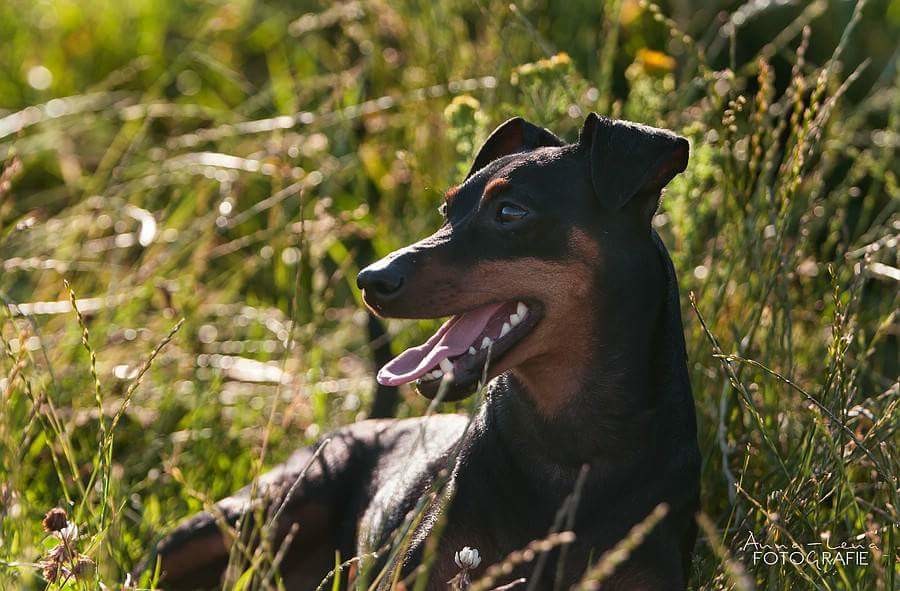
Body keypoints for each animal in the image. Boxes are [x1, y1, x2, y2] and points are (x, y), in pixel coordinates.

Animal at [148, 114, 700, 591]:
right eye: (447, 211)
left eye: (510, 212)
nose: (370, 280)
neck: (569, 452)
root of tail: (375, 424)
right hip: (259, 509)